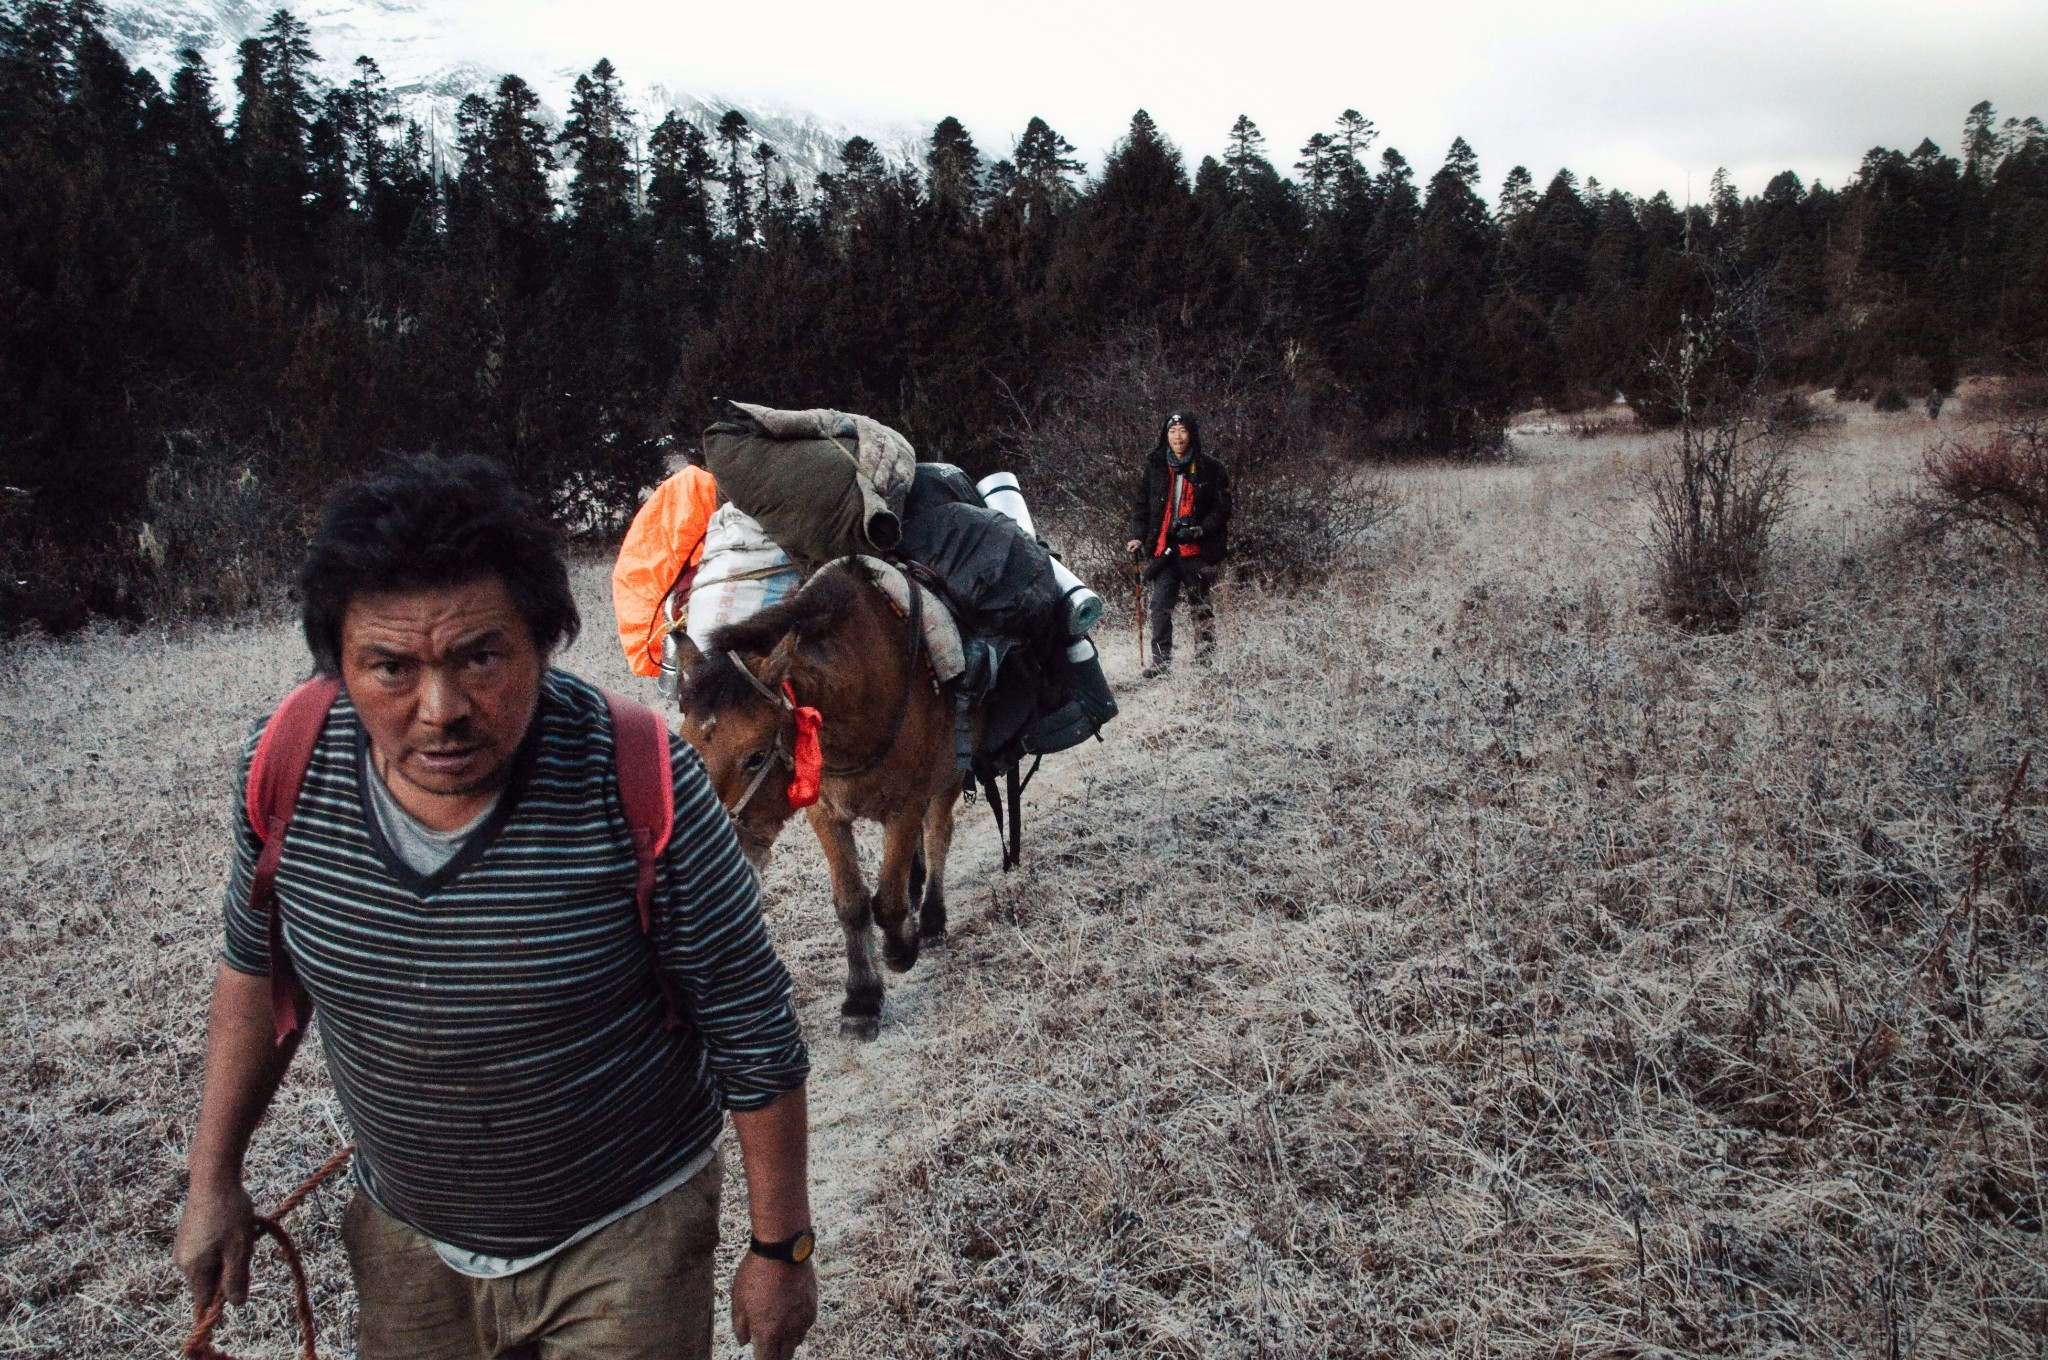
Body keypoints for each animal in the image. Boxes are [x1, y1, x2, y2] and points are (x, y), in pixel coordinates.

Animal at [679, 557, 966, 1036]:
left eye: (756, 757)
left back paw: (929, 918)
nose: (719, 857)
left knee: (938, 833)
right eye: (688, 747)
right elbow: (851, 902)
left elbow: (888, 899)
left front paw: (899, 948)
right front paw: (862, 997)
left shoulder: (905, 805)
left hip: (949, 777)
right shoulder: (825, 814)